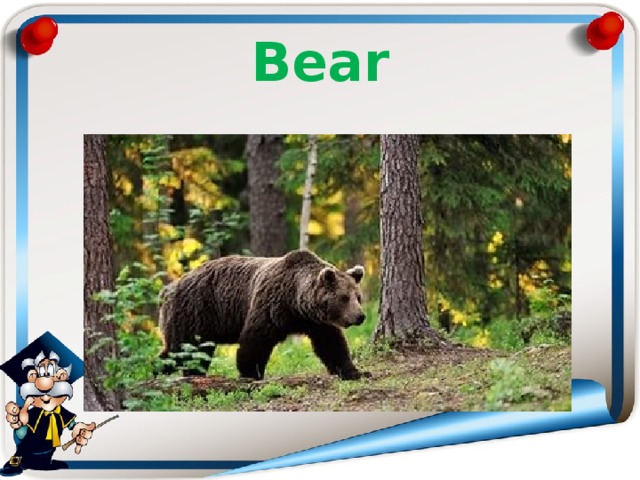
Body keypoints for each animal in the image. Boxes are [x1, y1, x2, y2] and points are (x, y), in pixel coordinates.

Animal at [158, 249, 367, 380]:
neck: (295, 303)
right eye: (344, 298)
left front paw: (355, 372)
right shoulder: (270, 307)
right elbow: (255, 342)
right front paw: (251, 373)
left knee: (193, 352)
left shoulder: (316, 322)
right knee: (183, 350)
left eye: (358, 297)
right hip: (195, 311)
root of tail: (169, 288)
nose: (360, 316)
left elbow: (332, 345)